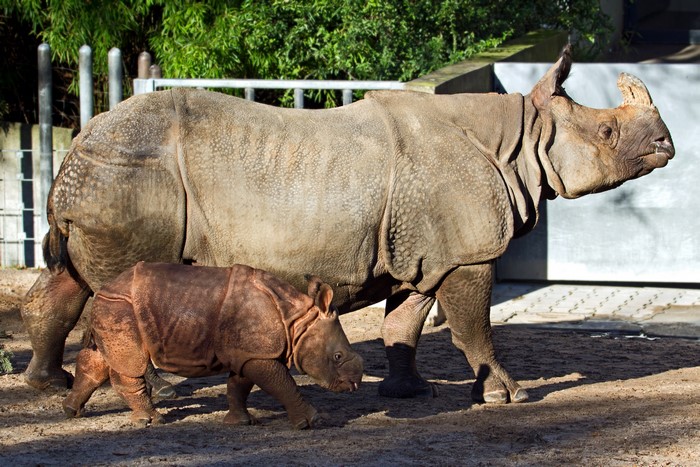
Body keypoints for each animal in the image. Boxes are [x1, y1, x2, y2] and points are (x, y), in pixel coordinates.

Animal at [23, 45, 674, 405]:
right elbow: (474, 328)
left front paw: (408, 394)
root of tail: (76, 148)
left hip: (104, 182)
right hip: (132, 179)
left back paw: (48, 385)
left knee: (68, 282)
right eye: (608, 133)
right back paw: (149, 393)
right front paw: (506, 397)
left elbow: (405, 325)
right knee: (119, 290)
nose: (666, 145)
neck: (521, 137)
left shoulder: (427, 252)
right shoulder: (467, 253)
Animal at [63, 262, 362, 428]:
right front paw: (312, 422)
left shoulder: (247, 353)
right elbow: (282, 383)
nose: (354, 382)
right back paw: (151, 421)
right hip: (121, 307)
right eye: (337, 356)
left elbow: (239, 385)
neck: (297, 322)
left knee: (103, 357)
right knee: (131, 363)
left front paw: (241, 423)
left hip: (113, 306)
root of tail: (103, 287)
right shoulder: (258, 353)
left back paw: (71, 411)